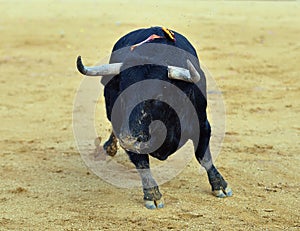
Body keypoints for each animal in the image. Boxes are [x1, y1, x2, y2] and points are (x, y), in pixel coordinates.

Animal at [75, 26, 232, 208]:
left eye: (158, 96)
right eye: (121, 93)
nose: (128, 140)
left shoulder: (202, 125)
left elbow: (204, 157)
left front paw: (220, 186)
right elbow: (142, 163)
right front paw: (152, 195)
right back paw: (110, 147)